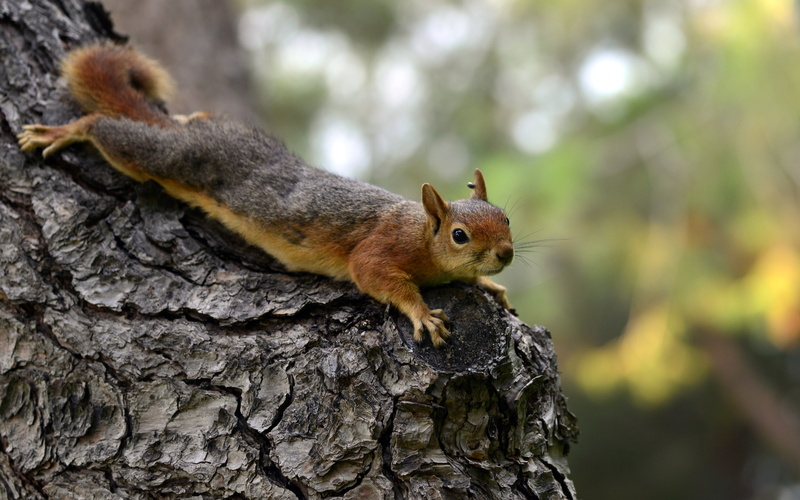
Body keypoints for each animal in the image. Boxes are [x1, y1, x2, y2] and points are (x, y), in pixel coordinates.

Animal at [18, 44, 514, 347]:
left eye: (506, 218)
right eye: (459, 235)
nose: (506, 253)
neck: (421, 235)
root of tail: (196, 134)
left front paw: (489, 285)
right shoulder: (381, 246)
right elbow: (374, 274)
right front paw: (423, 314)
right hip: (168, 159)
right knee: (107, 130)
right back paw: (65, 131)